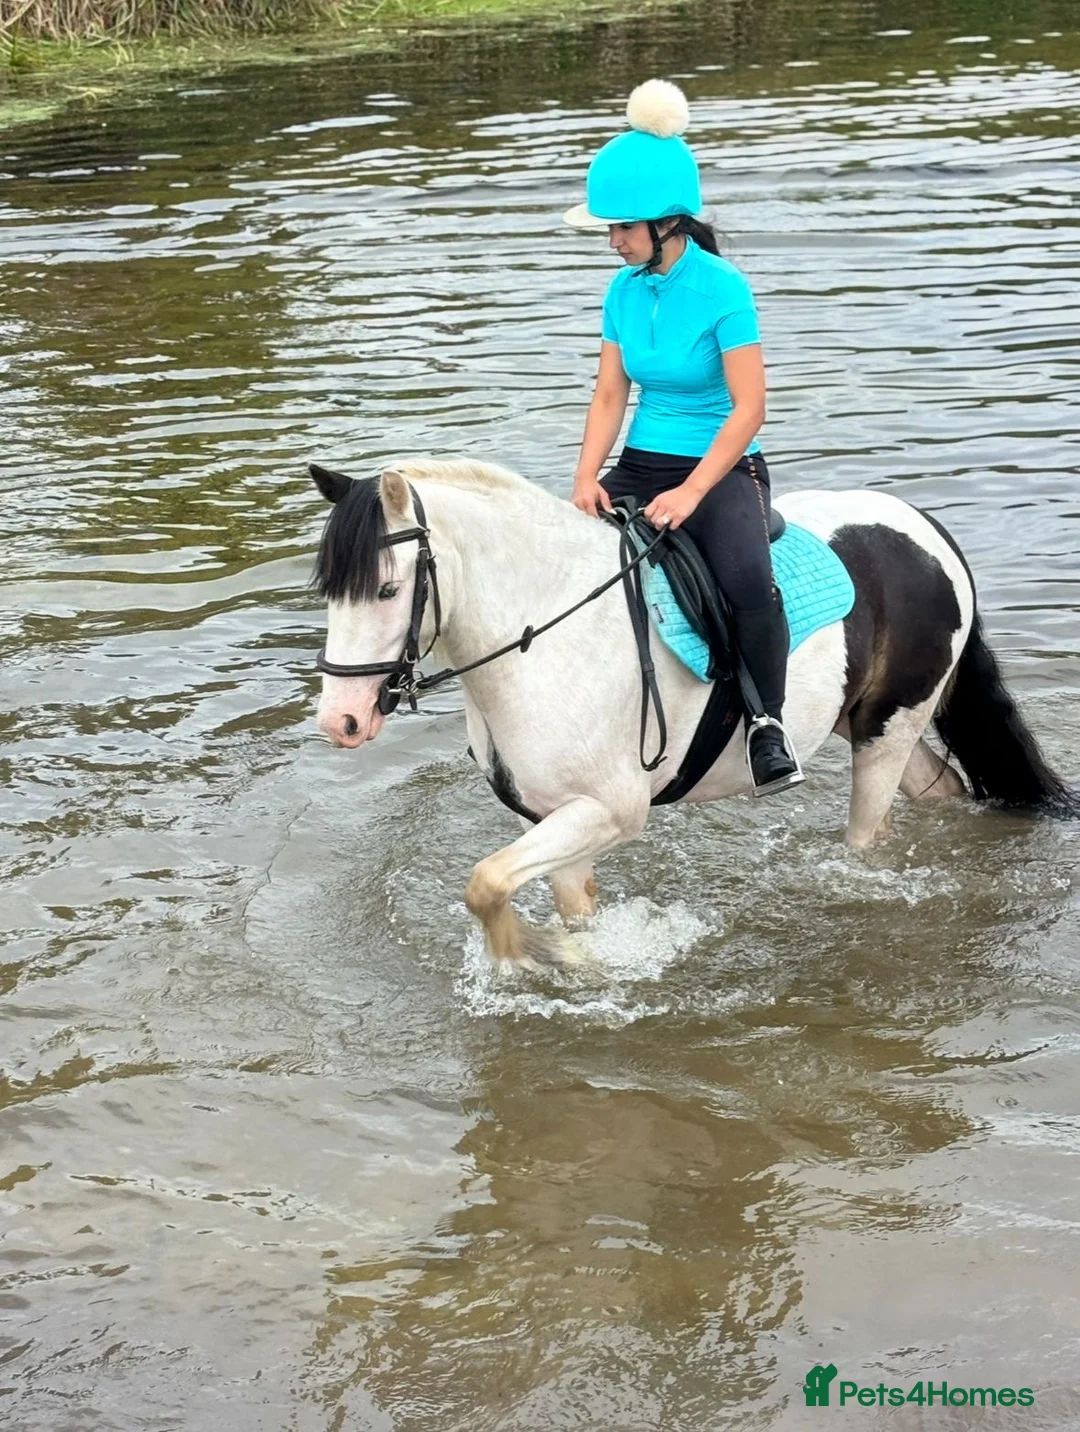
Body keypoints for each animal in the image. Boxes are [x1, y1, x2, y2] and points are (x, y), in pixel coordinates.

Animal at [309, 458, 1076, 967]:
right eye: (327, 590)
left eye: (387, 590)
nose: (340, 722)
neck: (541, 635)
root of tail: (925, 528)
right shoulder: (550, 816)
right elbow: (542, 901)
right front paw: (575, 962)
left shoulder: (612, 809)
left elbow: (485, 883)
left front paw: (528, 956)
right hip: (871, 722)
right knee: (944, 789)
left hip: (888, 733)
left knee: (869, 838)